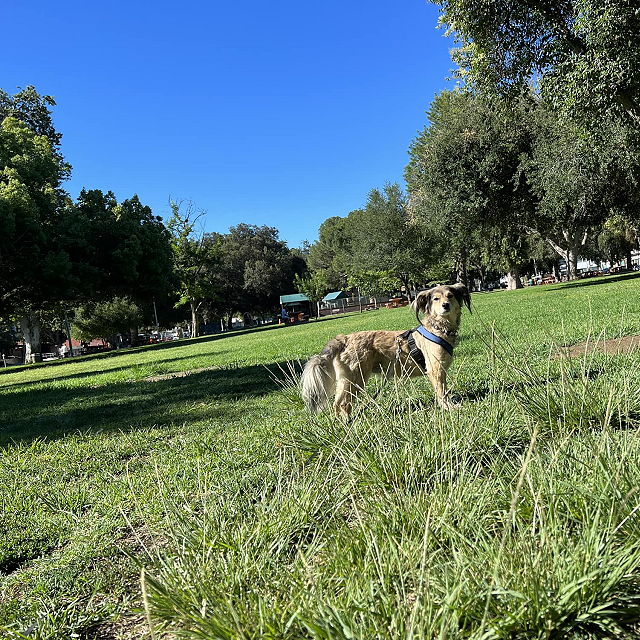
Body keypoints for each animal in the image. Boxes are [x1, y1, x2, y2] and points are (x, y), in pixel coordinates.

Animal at [301, 284, 471, 418]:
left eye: (450, 296)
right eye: (436, 299)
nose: (446, 305)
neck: (437, 329)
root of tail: (344, 338)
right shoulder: (436, 370)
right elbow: (442, 392)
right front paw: (448, 408)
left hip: (346, 380)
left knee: (337, 404)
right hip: (356, 378)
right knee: (343, 404)